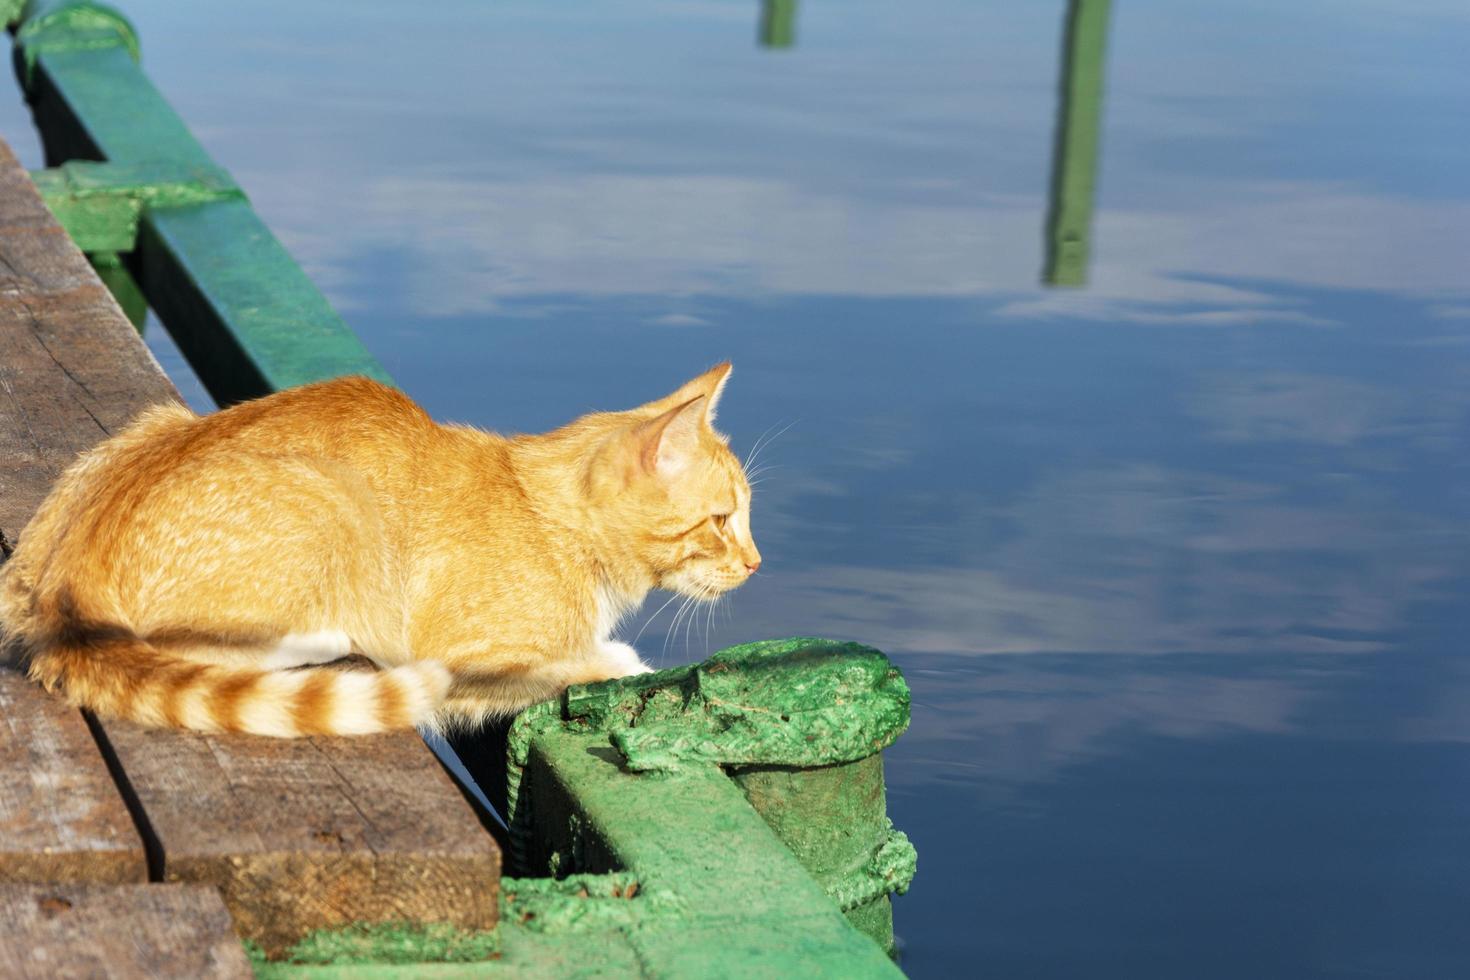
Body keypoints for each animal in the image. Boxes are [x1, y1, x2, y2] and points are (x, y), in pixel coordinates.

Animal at [0, 364, 758, 740]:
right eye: (722, 520)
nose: (754, 564)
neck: (550, 516)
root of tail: (70, 580)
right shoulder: (463, 654)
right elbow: (569, 666)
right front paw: (615, 659)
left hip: (158, 422)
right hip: (336, 499)